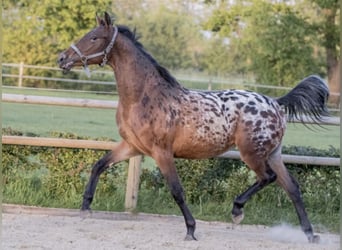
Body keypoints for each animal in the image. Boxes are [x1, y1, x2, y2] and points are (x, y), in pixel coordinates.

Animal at [58, 11, 328, 242]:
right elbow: (98, 165)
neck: (142, 97)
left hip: (251, 153)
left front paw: (191, 230)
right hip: (272, 153)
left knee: (268, 178)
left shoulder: (162, 152)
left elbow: (177, 191)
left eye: (94, 37)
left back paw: (237, 210)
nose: (62, 58)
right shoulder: (132, 146)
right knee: (292, 188)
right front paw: (85, 207)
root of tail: (276, 103)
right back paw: (310, 235)